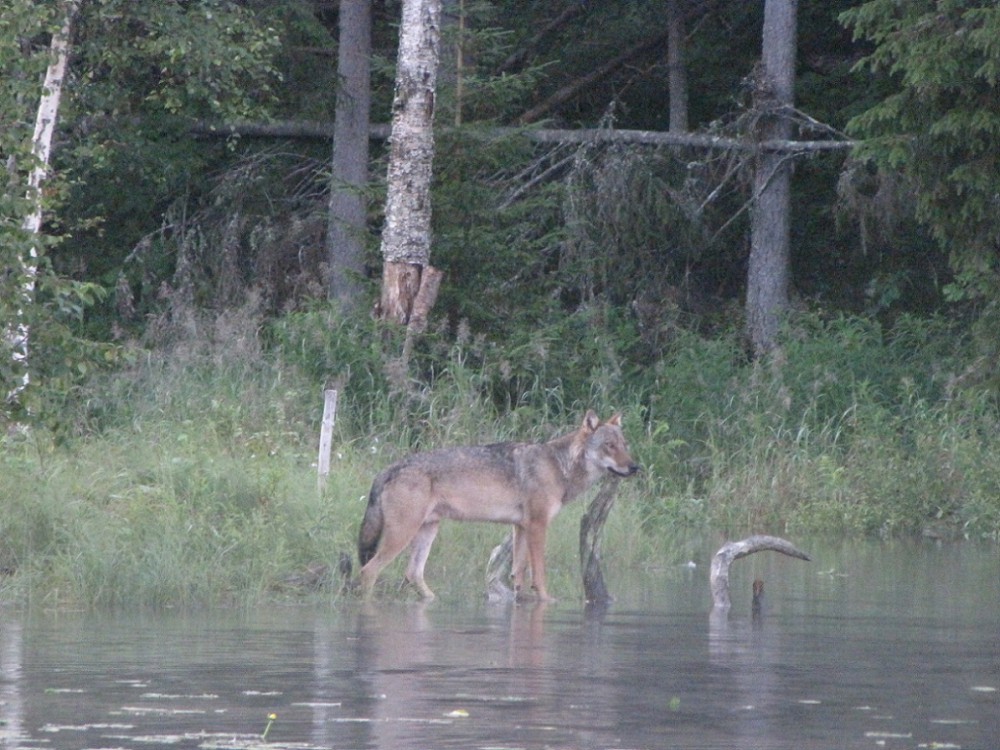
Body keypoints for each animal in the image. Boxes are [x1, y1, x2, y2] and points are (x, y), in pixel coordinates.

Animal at [356, 414, 636, 604]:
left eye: (624, 444)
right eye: (609, 445)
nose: (635, 467)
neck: (559, 466)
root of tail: (389, 468)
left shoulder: (520, 527)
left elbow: (518, 574)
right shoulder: (537, 526)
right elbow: (539, 573)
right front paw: (548, 601)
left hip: (428, 531)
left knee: (413, 574)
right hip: (401, 536)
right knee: (368, 571)